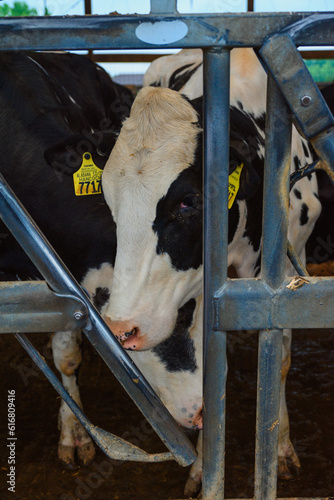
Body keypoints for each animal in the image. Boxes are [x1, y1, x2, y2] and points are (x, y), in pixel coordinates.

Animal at [96, 47, 320, 492]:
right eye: (111, 204)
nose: (120, 328)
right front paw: (203, 469)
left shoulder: (291, 267)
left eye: (188, 202)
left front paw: (281, 448)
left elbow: (281, 358)